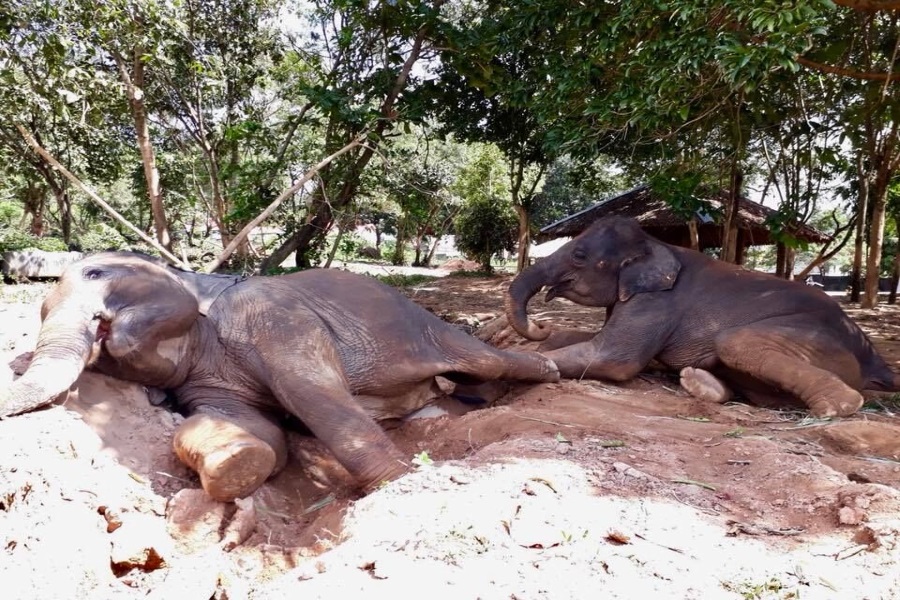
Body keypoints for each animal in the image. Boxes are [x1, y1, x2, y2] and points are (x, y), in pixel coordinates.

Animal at [1, 253, 556, 502]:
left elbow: (313, 394)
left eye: (96, 274)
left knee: (483, 360)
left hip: (429, 329)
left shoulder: (274, 319)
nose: (100, 330)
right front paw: (237, 466)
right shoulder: (206, 377)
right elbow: (260, 430)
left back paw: (548, 367)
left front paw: (401, 484)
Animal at [506, 216, 900, 418]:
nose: (541, 323)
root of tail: (873, 356)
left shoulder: (657, 302)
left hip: (819, 341)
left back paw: (837, 407)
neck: (656, 243)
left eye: (579, 255)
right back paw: (697, 381)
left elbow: (612, 358)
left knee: (735, 342)